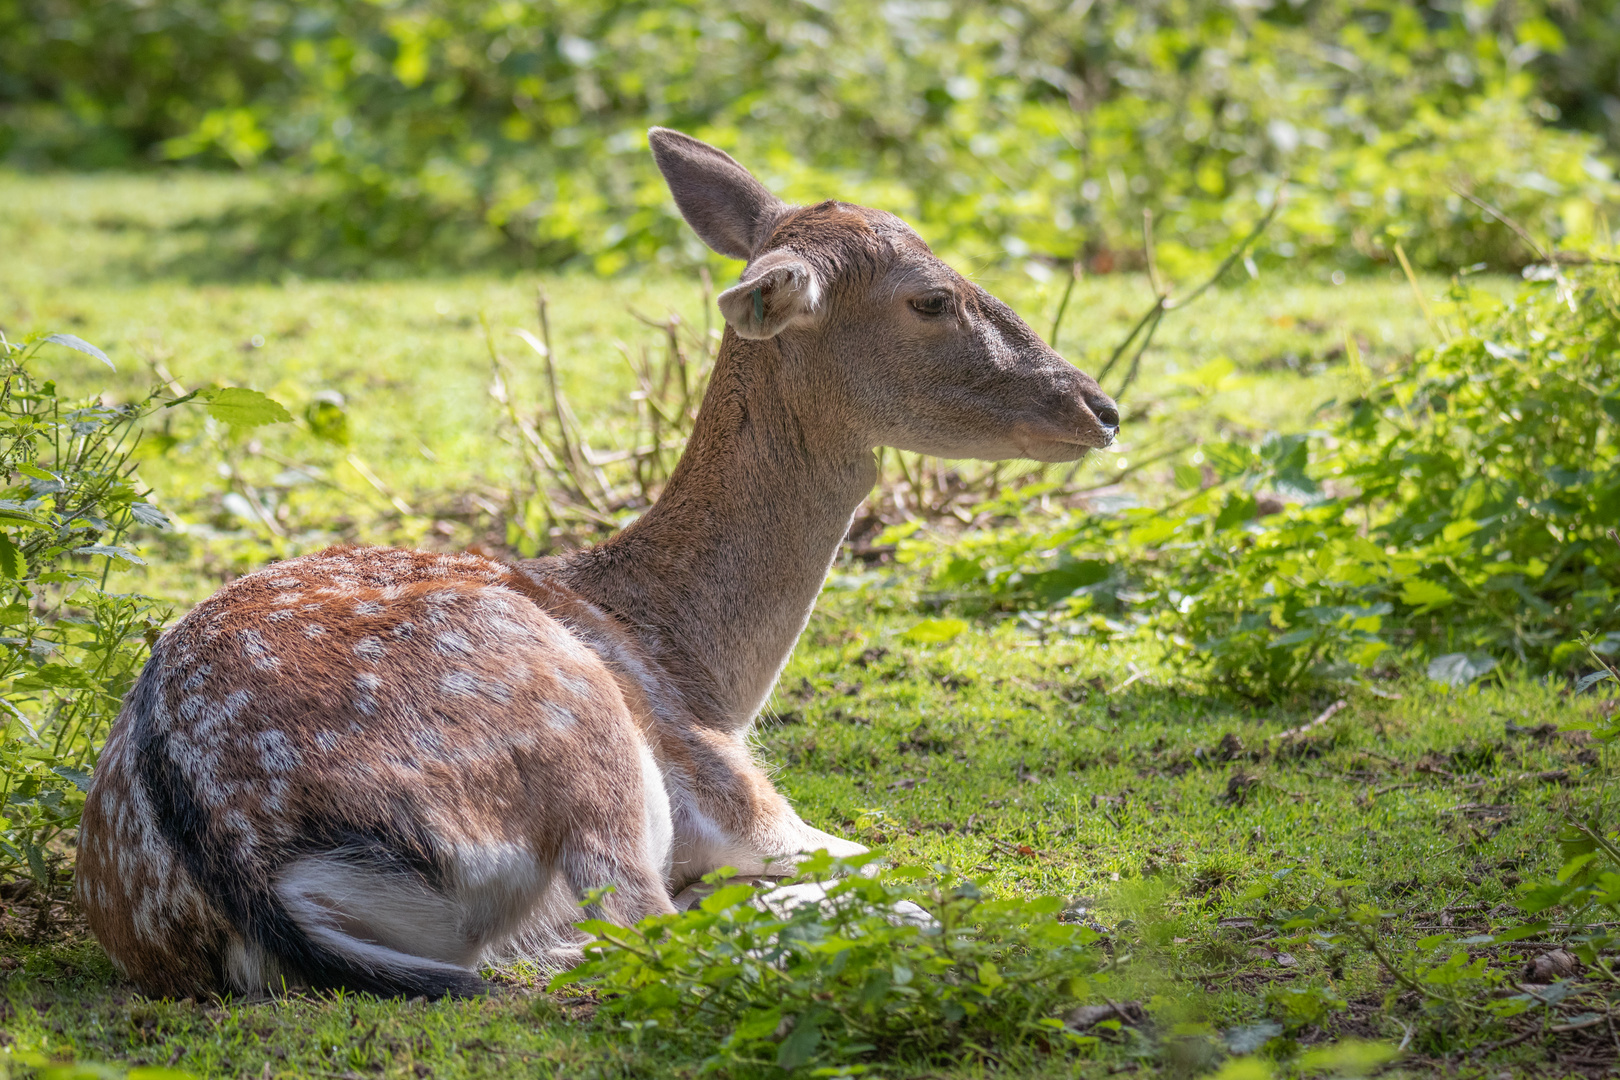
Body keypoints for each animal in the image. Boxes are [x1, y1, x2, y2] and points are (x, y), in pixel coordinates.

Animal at [72, 131, 1114, 1003]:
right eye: (930, 297)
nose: (1098, 407)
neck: (697, 663)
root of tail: (234, 863)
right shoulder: (734, 788)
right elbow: (862, 850)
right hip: (583, 732)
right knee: (641, 920)